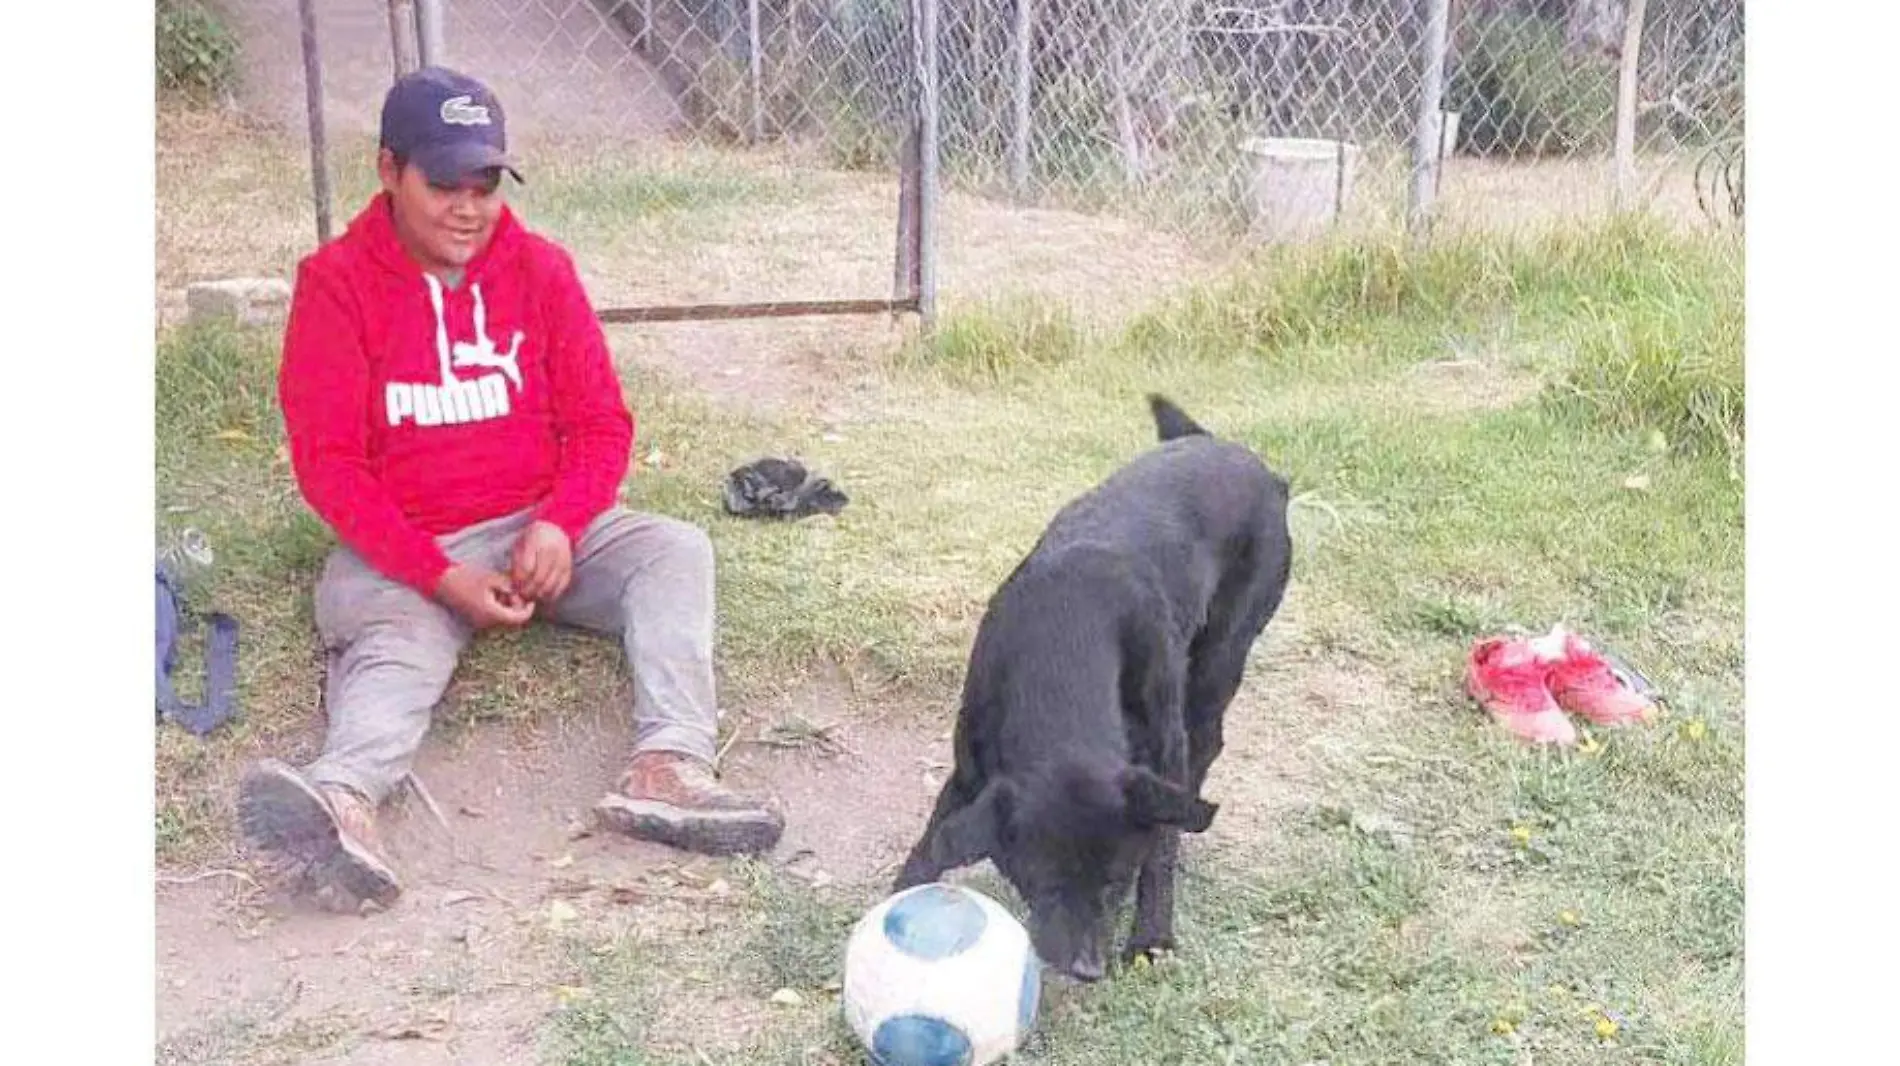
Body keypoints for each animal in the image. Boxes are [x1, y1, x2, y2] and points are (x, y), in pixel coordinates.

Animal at [893, 393, 1292, 980]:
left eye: (1116, 881)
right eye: (1042, 880)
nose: (1087, 969)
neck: (1067, 633)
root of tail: (1227, 448)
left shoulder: (1163, 756)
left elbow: (1160, 849)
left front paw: (1151, 937)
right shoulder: (971, 770)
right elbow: (932, 837)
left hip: (1221, 659)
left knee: (1207, 745)